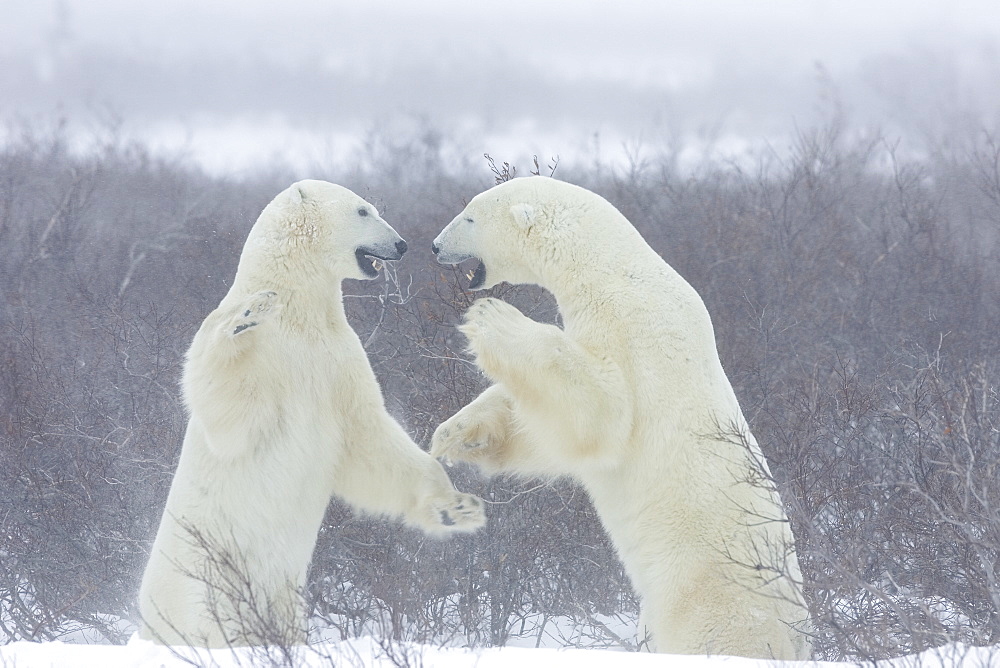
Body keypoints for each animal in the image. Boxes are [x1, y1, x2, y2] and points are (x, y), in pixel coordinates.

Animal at [139, 181, 486, 648]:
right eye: (363, 210)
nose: (401, 244)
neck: (300, 314)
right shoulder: (270, 357)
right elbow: (231, 414)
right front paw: (247, 314)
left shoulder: (340, 360)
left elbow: (369, 437)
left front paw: (459, 508)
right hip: (204, 580)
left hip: (284, 591)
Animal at [430, 176, 812, 656]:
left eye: (469, 217)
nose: (434, 246)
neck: (615, 273)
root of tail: (798, 636)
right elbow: (540, 426)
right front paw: (455, 434)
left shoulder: (634, 334)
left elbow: (601, 414)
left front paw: (492, 317)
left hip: (707, 594)